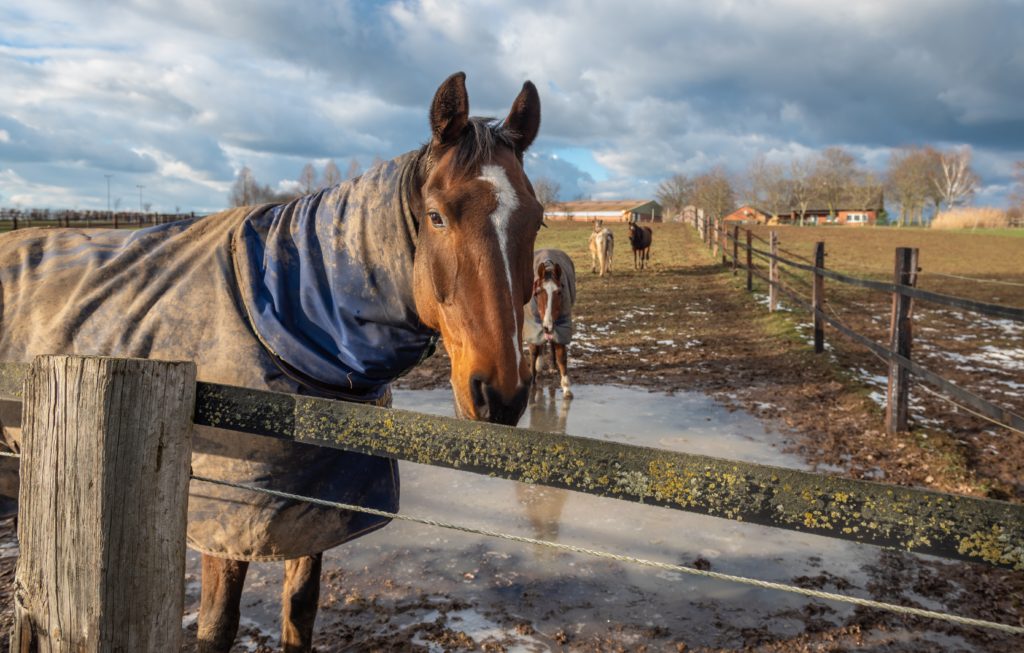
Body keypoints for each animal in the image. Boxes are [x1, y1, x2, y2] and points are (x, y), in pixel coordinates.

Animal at [0, 72, 544, 653]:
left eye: (537, 221)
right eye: (438, 216)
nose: (501, 393)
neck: (284, 318)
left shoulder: (317, 509)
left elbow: (300, 608)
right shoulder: (227, 520)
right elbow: (216, 627)